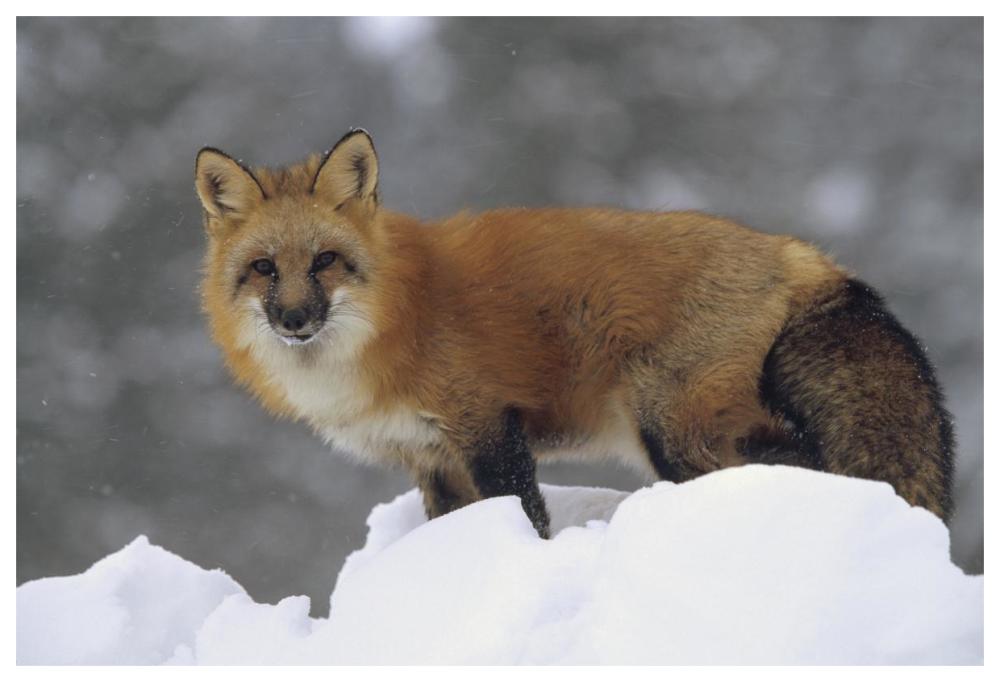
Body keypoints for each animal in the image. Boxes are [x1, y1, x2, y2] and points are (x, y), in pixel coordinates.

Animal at [195, 129, 954, 537]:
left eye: (325, 261)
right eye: (264, 270)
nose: (295, 320)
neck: (393, 321)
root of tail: (800, 254)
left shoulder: (487, 427)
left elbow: (525, 515)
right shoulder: (431, 460)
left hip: (674, 433)